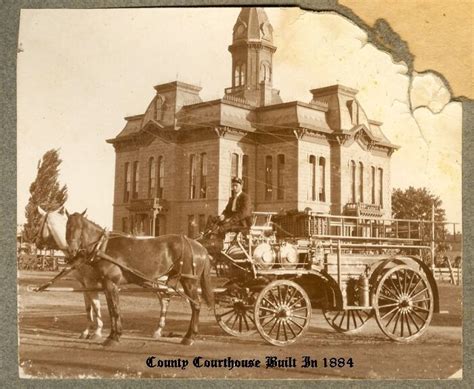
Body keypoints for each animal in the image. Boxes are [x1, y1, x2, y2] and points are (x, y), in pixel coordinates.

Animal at [65, 209, 214, 346]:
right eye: (67, 228)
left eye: (79, 228)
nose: (72, 251)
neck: (104, 247)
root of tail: (200, 247)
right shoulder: (106, 285)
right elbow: (112, 309)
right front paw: (114, 334)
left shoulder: (111, 283)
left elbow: (115, 310)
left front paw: (114, 337)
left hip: (189, 281)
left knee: (196, 305)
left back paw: (189, 337)